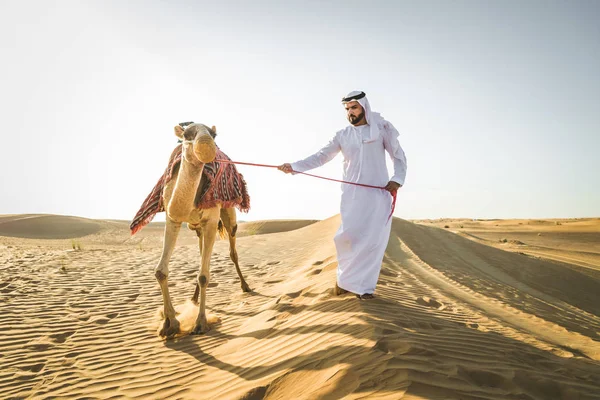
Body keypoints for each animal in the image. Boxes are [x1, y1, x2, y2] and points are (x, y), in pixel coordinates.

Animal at [155, 122, 251, 338]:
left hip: (228, 215)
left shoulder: (211, 219)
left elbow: (204, 276)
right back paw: (193, 299)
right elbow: (161, 272)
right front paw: (169, 324)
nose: (207, 145)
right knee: (201, 254)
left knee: (233, 249)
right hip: (197, 227)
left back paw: (246, 286)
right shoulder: (172, 218)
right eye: (187, 134)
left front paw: (200, 323)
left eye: (213, 134)